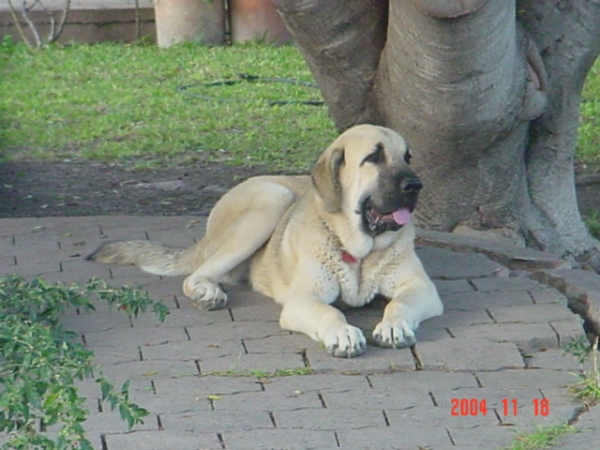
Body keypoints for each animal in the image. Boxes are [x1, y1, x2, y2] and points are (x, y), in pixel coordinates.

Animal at [89, 125, 446, 356]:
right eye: (374, 157)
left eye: (407, 157)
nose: (416, 186)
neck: (357, 250)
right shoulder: (303, 300)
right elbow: (331, 313)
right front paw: (342, 333)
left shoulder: (420, 288)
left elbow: (399, 304)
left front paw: (393, 326)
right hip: (272, 200)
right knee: (197, 274)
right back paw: (208, 292)